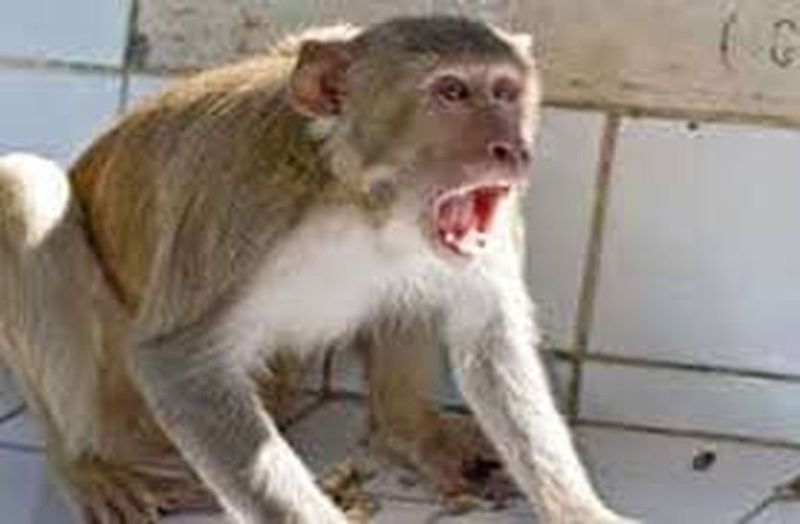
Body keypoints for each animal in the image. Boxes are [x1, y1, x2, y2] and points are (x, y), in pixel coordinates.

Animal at [0, 16, 633, 524]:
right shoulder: (241, 202)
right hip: (123, 412)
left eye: (505, 91)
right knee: (28, 187)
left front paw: (582, 512)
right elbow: (177, 365)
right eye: (452, 92)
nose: (512, 148)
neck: (360, 197)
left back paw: (410, 430)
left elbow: (488, 336)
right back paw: (86, 466)